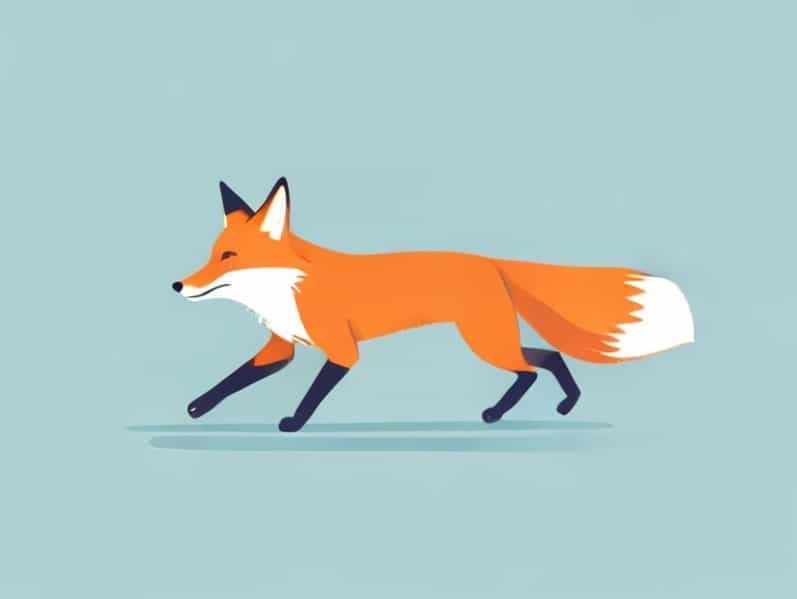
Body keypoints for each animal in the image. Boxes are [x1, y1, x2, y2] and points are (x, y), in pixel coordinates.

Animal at [172, 177, 694, 432]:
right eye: (212, 253)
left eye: (229, 257)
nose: (178, 284)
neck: (289, 287)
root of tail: (489, 261)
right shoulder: (280, 347)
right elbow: (231, 380)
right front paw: (197, 408)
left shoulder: (341, 350)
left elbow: (312, 394)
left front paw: (295, 423)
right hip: (490, 339)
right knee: (545, 358)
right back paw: (551, 405)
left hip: (485, 342)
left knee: (533, 366)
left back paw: (514, 410)